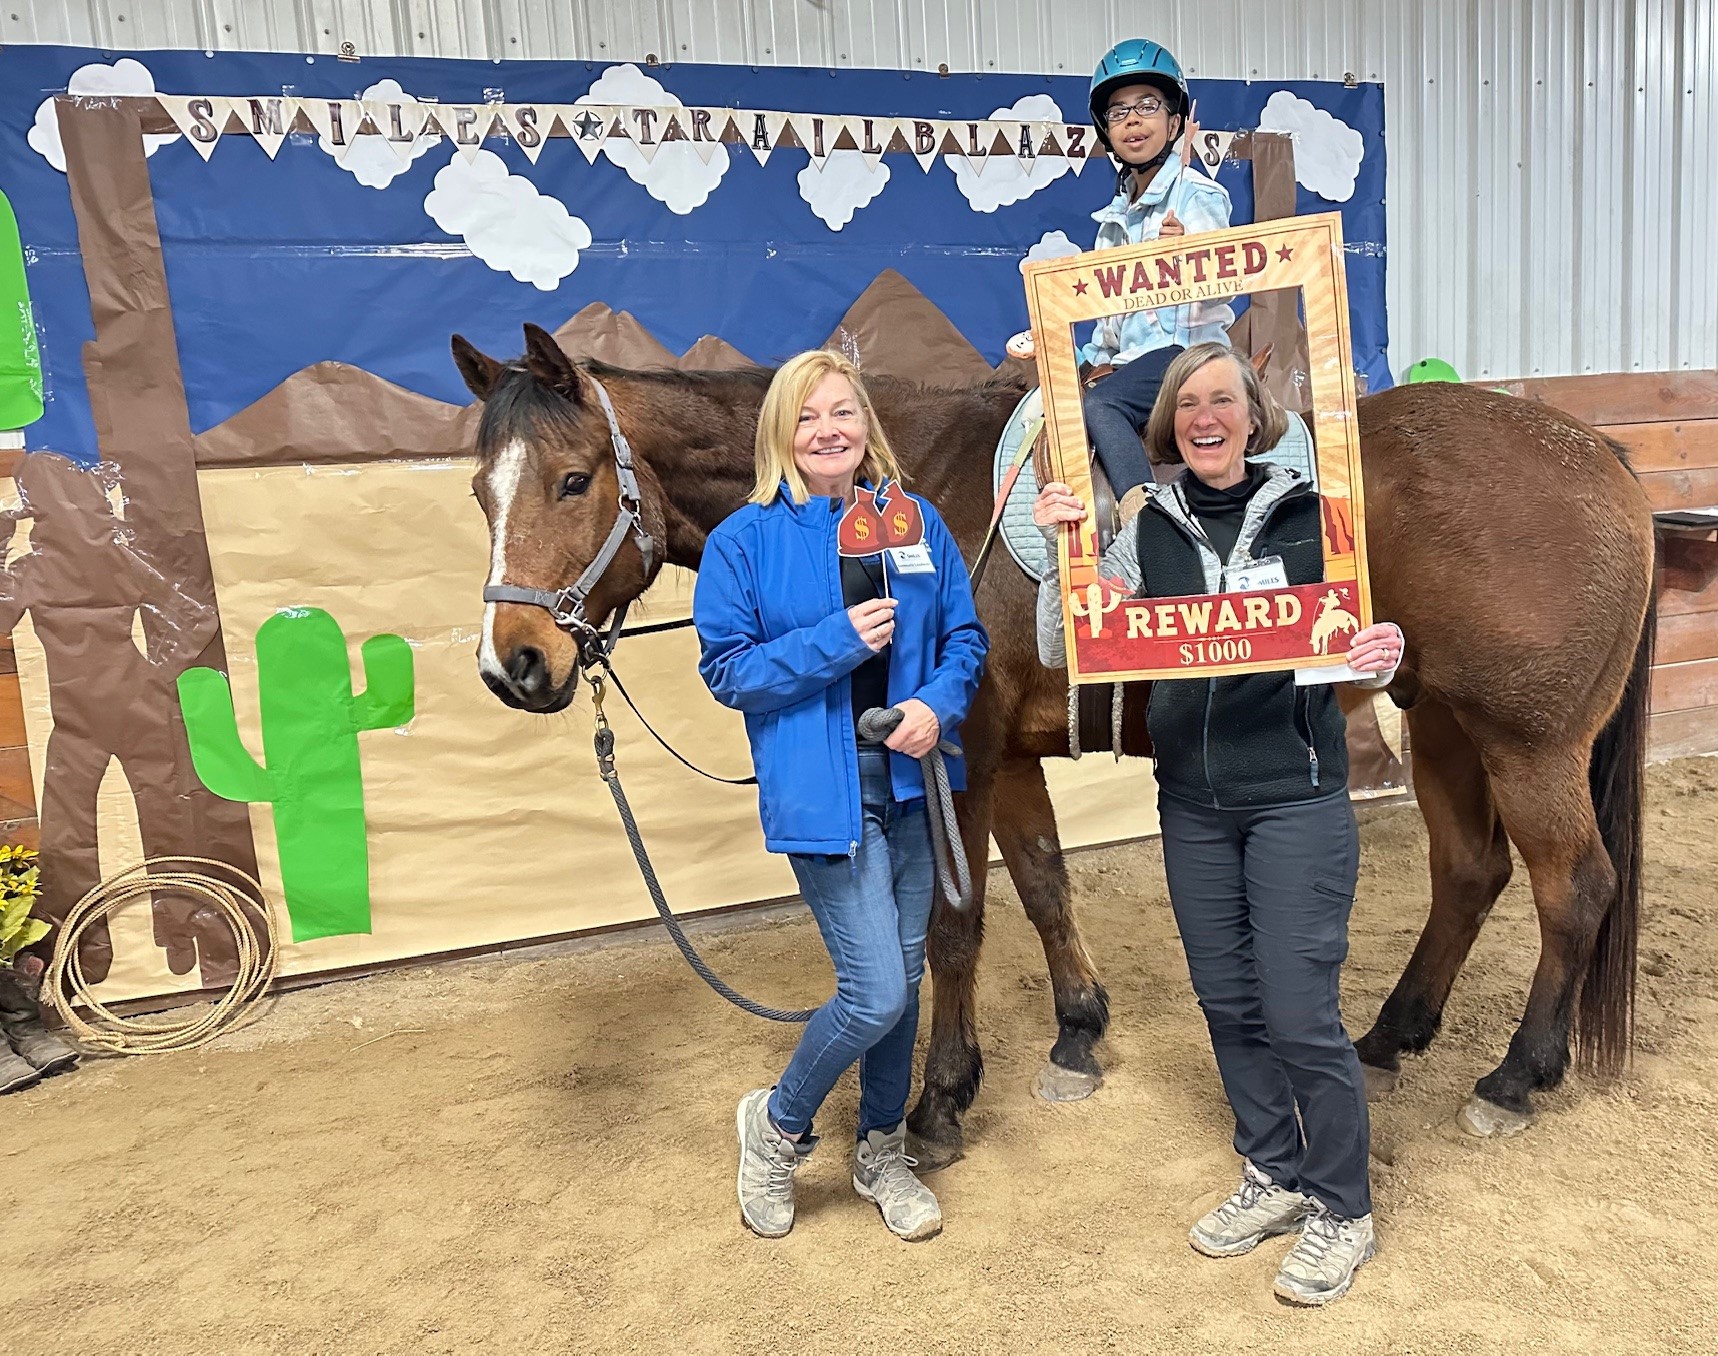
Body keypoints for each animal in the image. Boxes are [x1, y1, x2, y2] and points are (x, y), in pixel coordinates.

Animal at [453, 322, 1656, 1160]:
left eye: (572, 479)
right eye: (479, 491)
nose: (513, 665)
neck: (893, 494)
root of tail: (1595, 452)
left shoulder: (957, 751)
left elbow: (956, 927)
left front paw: (941, 1098)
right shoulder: (1011, 755)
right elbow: (1039, 884)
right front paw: (1077, 1032)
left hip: (1526, 744)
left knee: (1574, 888)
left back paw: (1515, 1076)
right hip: (1441, 721)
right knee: (1469, 872)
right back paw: (1393, 1034)